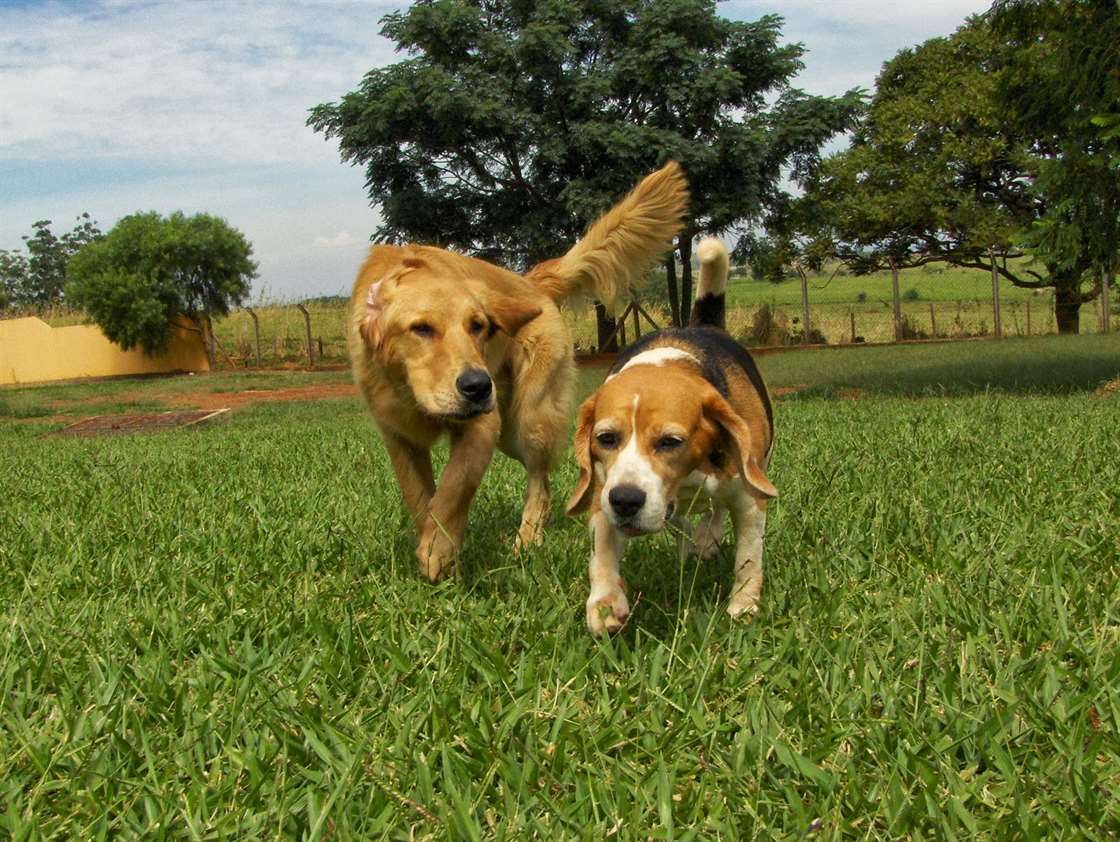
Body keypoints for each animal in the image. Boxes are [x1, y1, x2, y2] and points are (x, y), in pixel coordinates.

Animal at [349, 162, 685, 577]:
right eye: (421, 328)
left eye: (480, 326)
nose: (478, 386)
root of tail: (532, 282)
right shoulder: (399, 437)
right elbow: (421, 497)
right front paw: (435, 548)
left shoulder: (482, 426)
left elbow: (453, 489)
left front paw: (438, 551)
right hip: (511, 433)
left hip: (528, 421)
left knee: (541, 483)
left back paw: (526, 542)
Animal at [568, 237, 779, 631]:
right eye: (606, 438)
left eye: (670, 442)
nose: (625, 501)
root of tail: (702, 326)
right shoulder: (603, 489)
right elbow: (602, 553)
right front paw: (605, 604)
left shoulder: (750, 497)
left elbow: (748, 556)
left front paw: (743, 606)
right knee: (682, 521)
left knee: (712, 511)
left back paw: (707, 538)